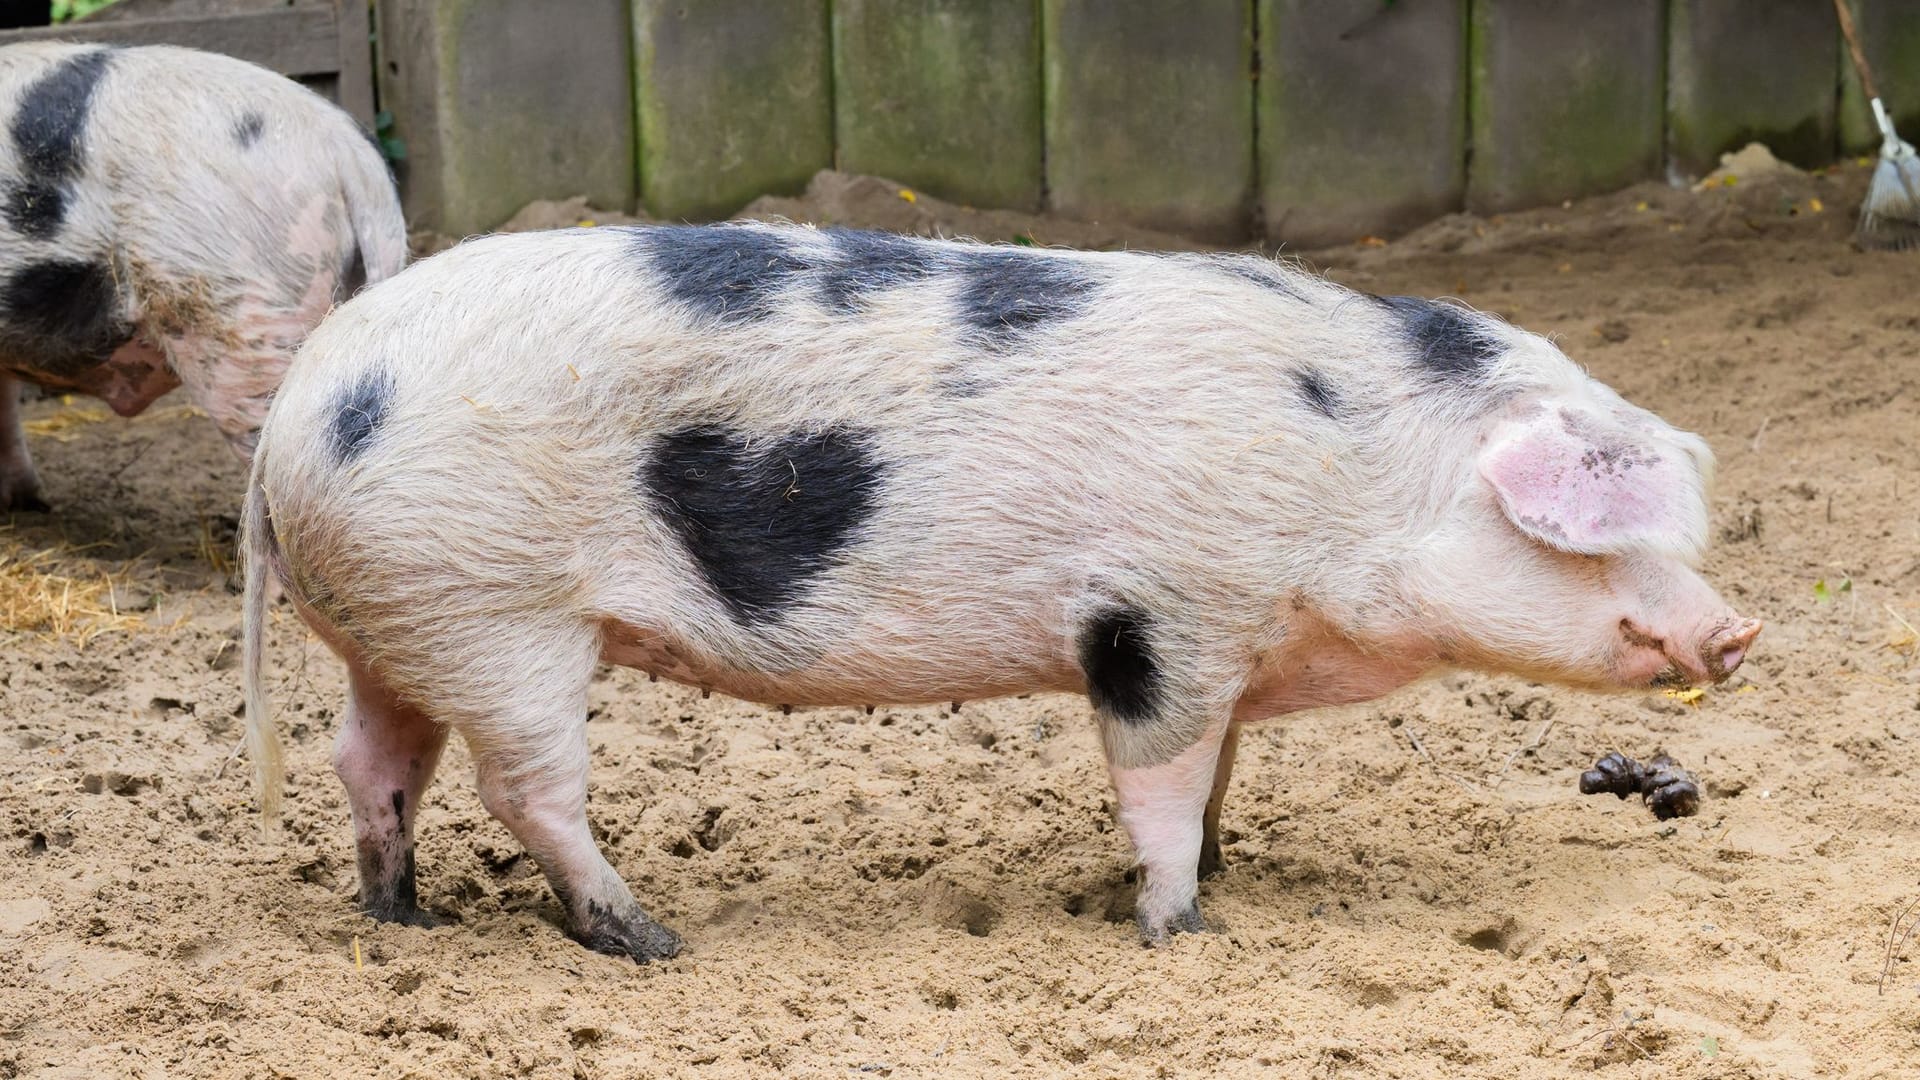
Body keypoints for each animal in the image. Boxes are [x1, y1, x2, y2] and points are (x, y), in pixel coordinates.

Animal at [239, 222, 1762, 960]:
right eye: (1598, 535)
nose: (1737, 629)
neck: (1357, 468)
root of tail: (298, 411)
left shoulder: (1225, 646)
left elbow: (1217, 777)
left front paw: (1215, 875)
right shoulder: (1161, 620)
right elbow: (1160, 784)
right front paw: (1179, 928)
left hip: (405, 620)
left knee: (372, 759)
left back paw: (401, 916)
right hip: (499, 614)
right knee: (527, 791)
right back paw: (652, 941)